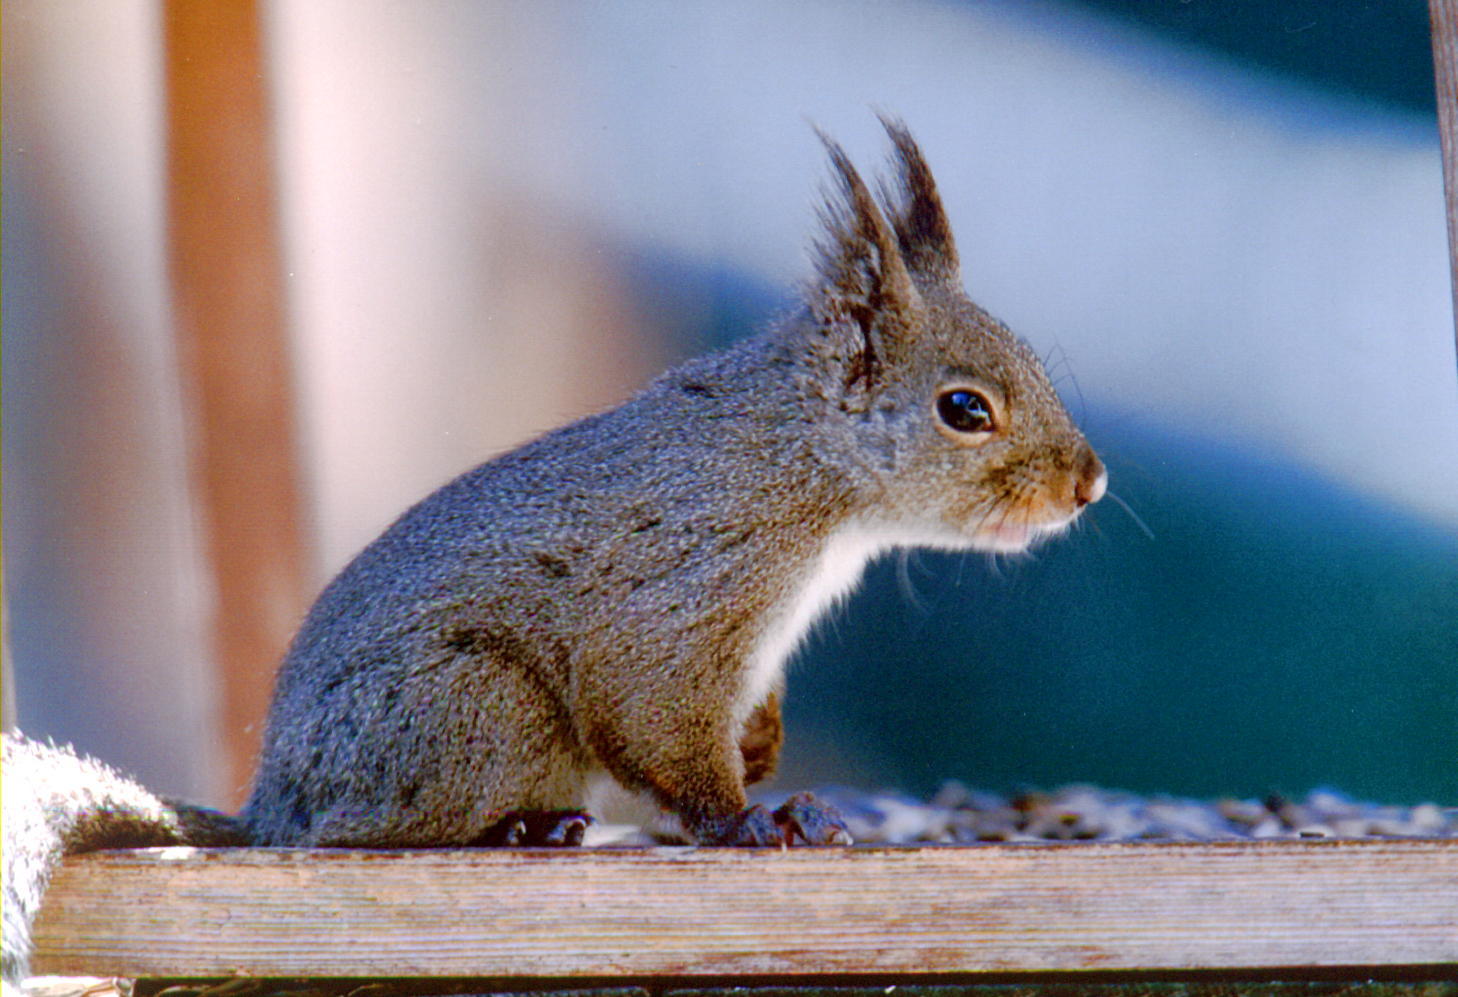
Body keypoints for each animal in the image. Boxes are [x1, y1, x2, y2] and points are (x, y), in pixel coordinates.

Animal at [0, 120, 1102, 985]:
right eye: (965, 409)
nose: (1088, 484)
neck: (805, 465)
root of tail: (268, 807)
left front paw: (762, 749)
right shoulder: (686, 582)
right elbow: (656, 713)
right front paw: (752, 820)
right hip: (474, 705)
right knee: (368, 833)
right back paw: (517, 828)